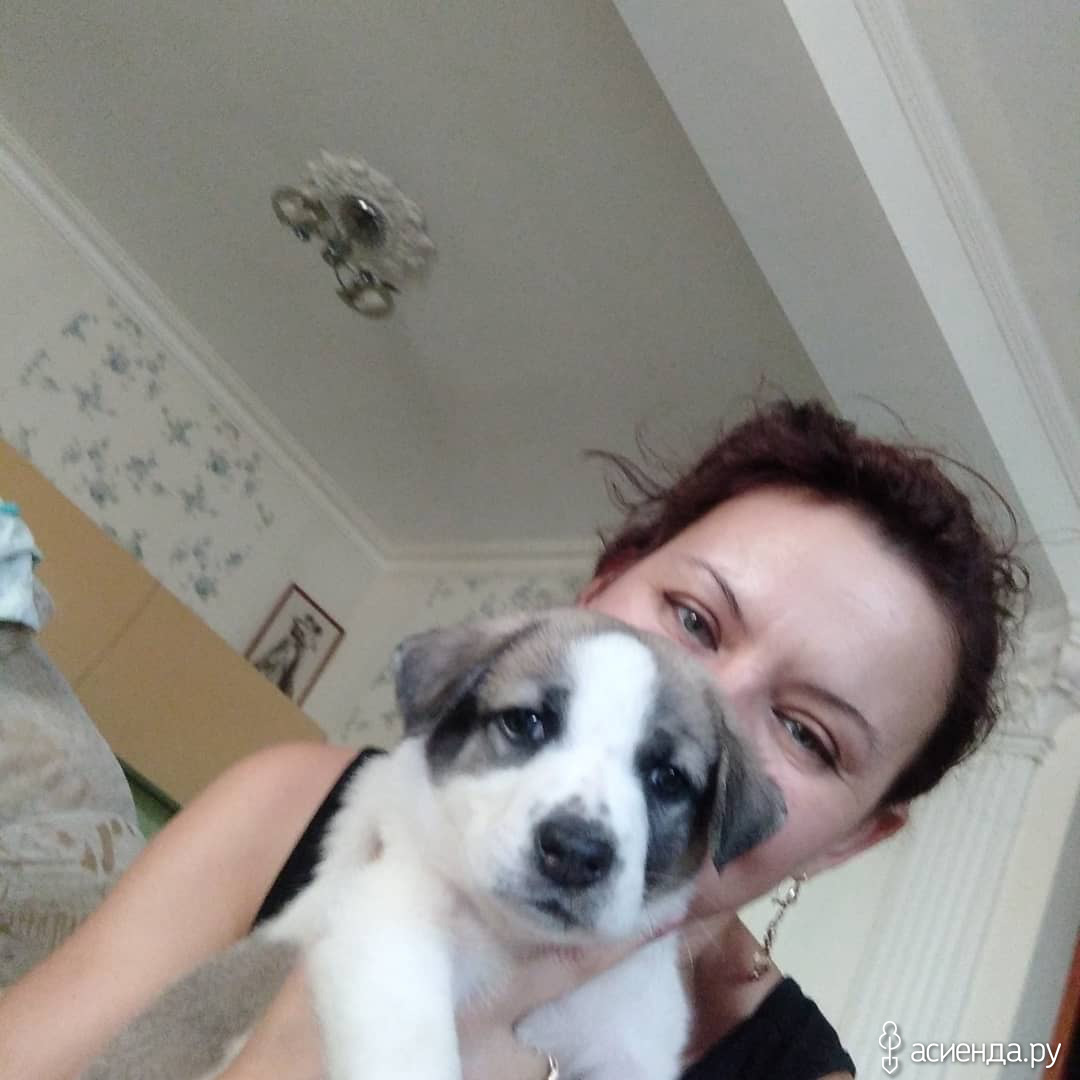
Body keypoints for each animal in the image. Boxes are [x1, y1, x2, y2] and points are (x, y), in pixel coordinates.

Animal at [83, 608, 785, 1080]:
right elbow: (407, 1043)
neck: (516, 943)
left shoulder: (629, 1048)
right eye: (526, 723)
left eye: (666, 778)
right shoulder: (387, 925)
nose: (576, 851)